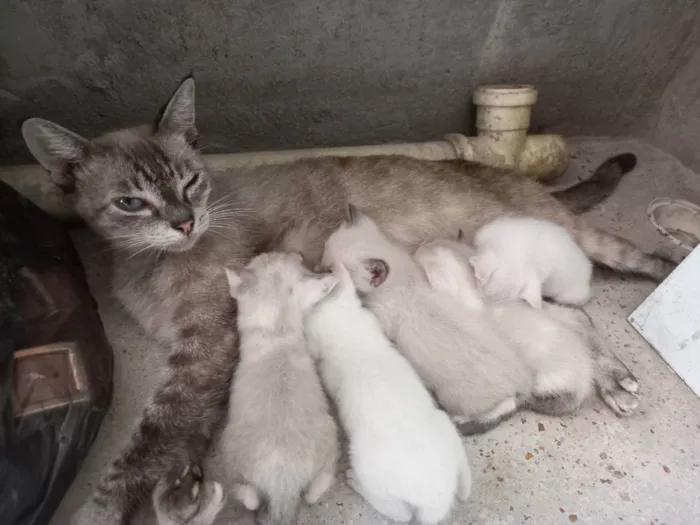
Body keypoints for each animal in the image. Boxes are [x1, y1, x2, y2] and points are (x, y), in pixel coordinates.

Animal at [220, 252, 338, 524]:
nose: (300, 253)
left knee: (249, 494)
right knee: (314, 490)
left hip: (230, 452)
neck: (277, 331)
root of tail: (283, 485)